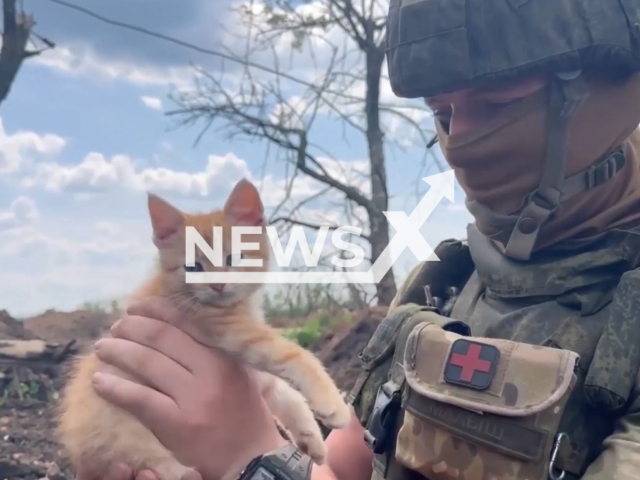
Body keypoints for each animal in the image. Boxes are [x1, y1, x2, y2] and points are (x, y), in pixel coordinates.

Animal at [56, 178, 350, 478]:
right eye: (193, 267)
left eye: (234, 258)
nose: (217, 285)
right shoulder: (231, 332)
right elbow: (295, 355)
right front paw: (333, 403)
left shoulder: (254, 372)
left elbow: (285, 393)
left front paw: (312, 438)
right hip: (127, 434)